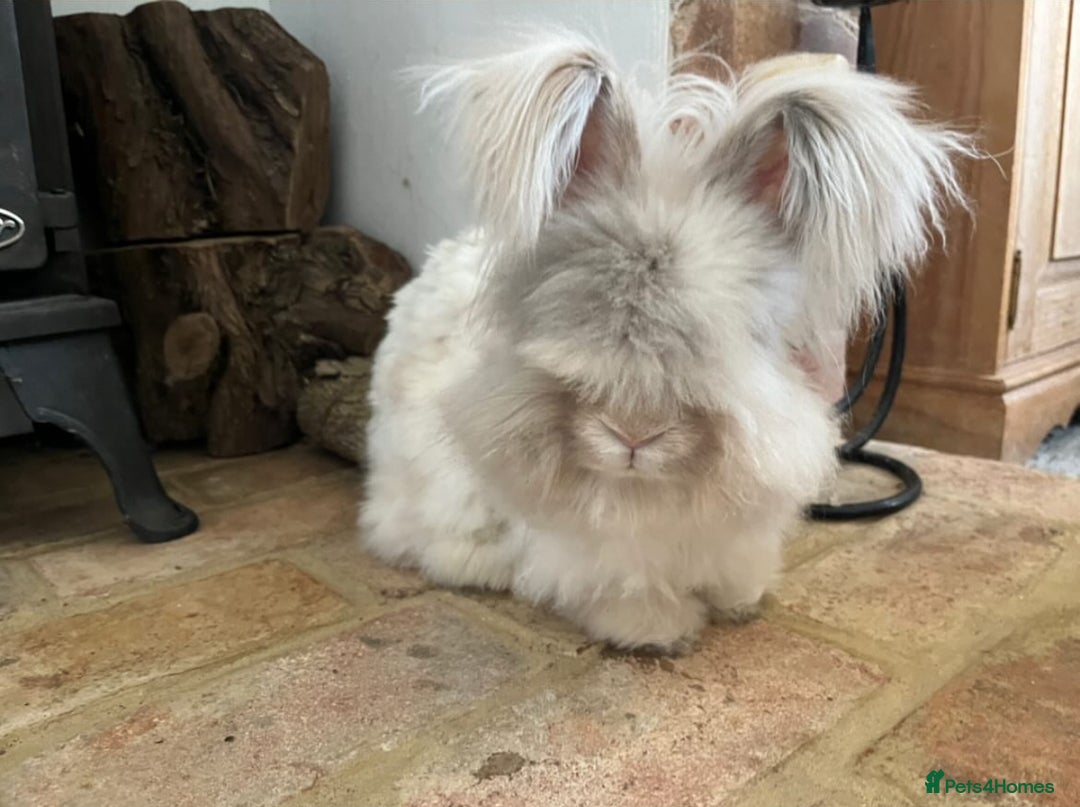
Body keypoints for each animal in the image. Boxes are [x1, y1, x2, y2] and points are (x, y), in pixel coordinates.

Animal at [360, 31, 974, 654]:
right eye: (568, 315)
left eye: (742, 334)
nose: (634, 436)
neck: (649, 494)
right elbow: (622, 588)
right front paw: (656, 629)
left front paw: (740, 600)